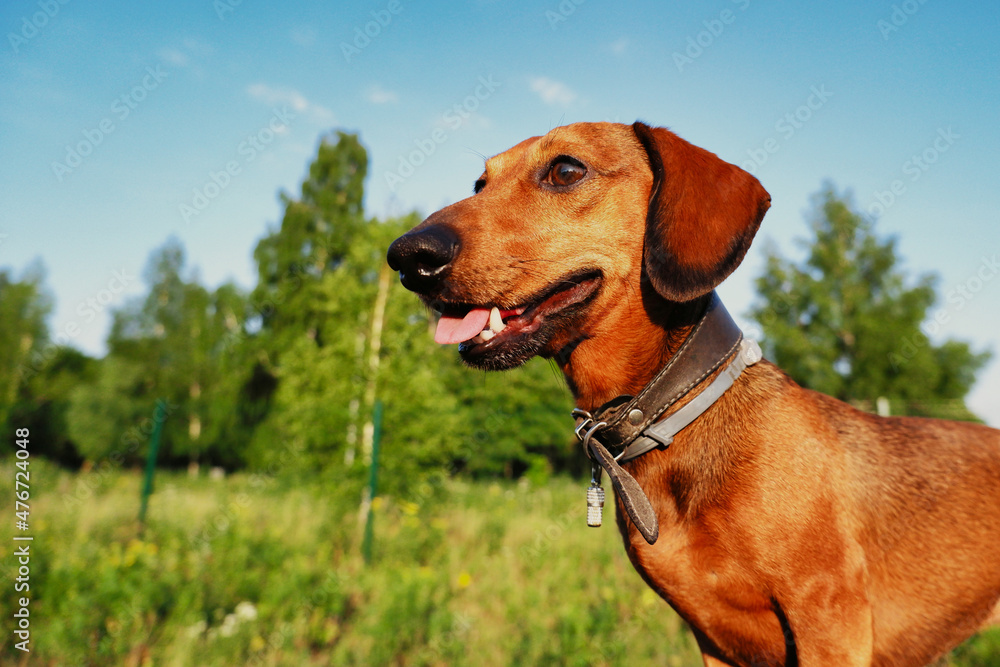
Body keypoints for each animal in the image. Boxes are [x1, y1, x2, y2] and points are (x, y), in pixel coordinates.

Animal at [384, 121, 1000, 667]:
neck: (674, 417)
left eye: (565, 170)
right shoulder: (715, 642)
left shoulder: (829, 622)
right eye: (478, 184)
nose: (407, 255)